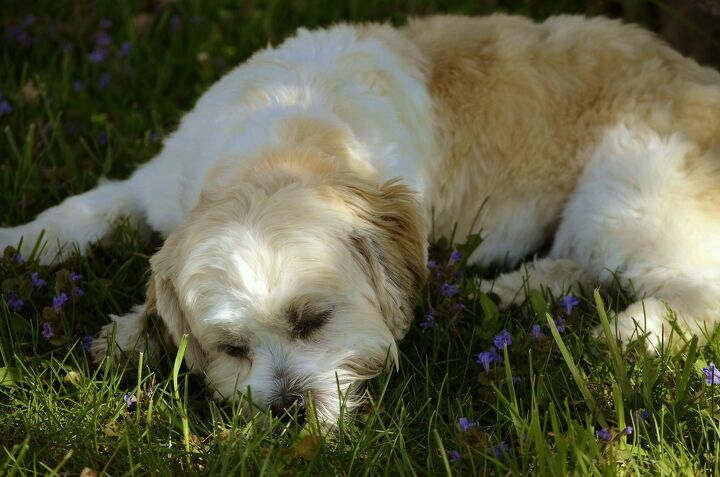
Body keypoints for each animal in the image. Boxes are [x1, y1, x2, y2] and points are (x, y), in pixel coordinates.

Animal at [4, 15, 720, 424]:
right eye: (232, 349)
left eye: (315, 320)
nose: (288, 411)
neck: (284, 140)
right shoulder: (156, 185)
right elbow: (79, 214)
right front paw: (32, 253)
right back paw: (524, 290)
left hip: (626, 191)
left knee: (692, 287)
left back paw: (624, 334)